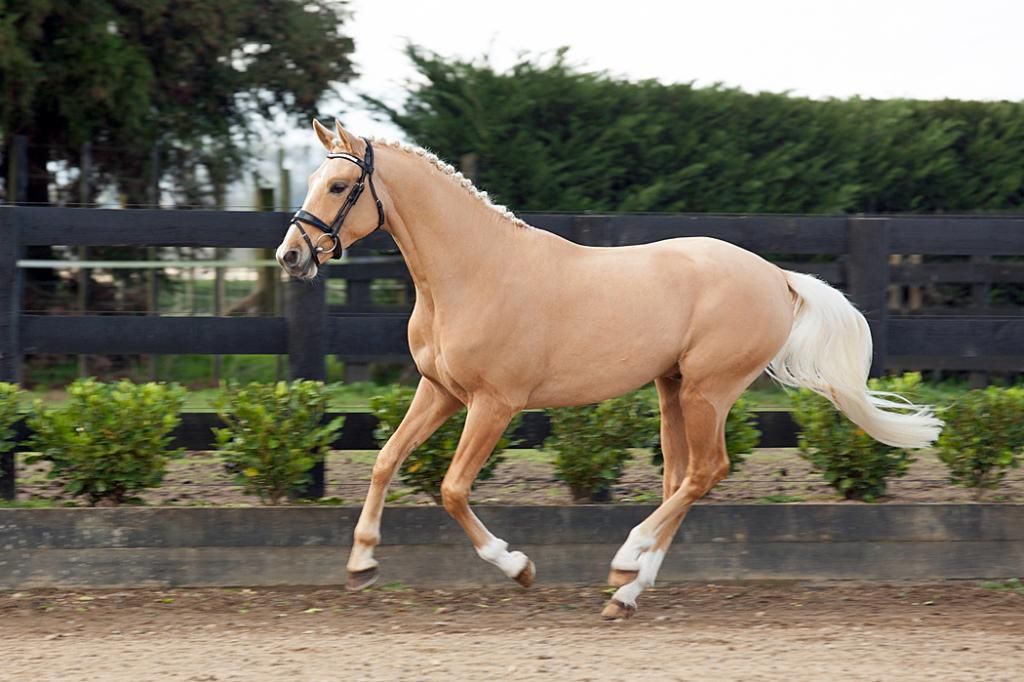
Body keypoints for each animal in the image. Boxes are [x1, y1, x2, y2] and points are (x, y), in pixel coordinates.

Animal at [274, 119, 942, 618]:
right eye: (312, 178)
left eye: (338, 185)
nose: (291, 257)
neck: (473, 273)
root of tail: (777, 276)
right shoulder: (439, 391)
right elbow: (386, 461)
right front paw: (361, 564)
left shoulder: (495, 403)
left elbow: (452, 489)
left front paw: (519, 567)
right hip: (673, 388)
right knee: (681, 478)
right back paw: (626, 593)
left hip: (708, 390)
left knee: (706, 472)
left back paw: (627, 558)